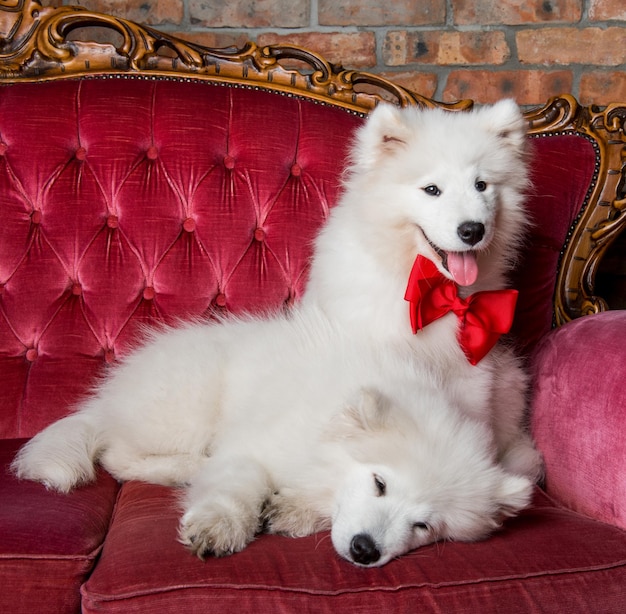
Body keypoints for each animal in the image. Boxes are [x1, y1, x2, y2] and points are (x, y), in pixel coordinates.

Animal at [9, 100, 540, 568]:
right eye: (432, 190)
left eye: (482, 186)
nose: (472, 229)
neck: (421, 288)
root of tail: (108, 396)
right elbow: (238, 482)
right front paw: (223, 524)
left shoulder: (471, 379)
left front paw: (294, 509)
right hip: (183, 411)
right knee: (120, 454)